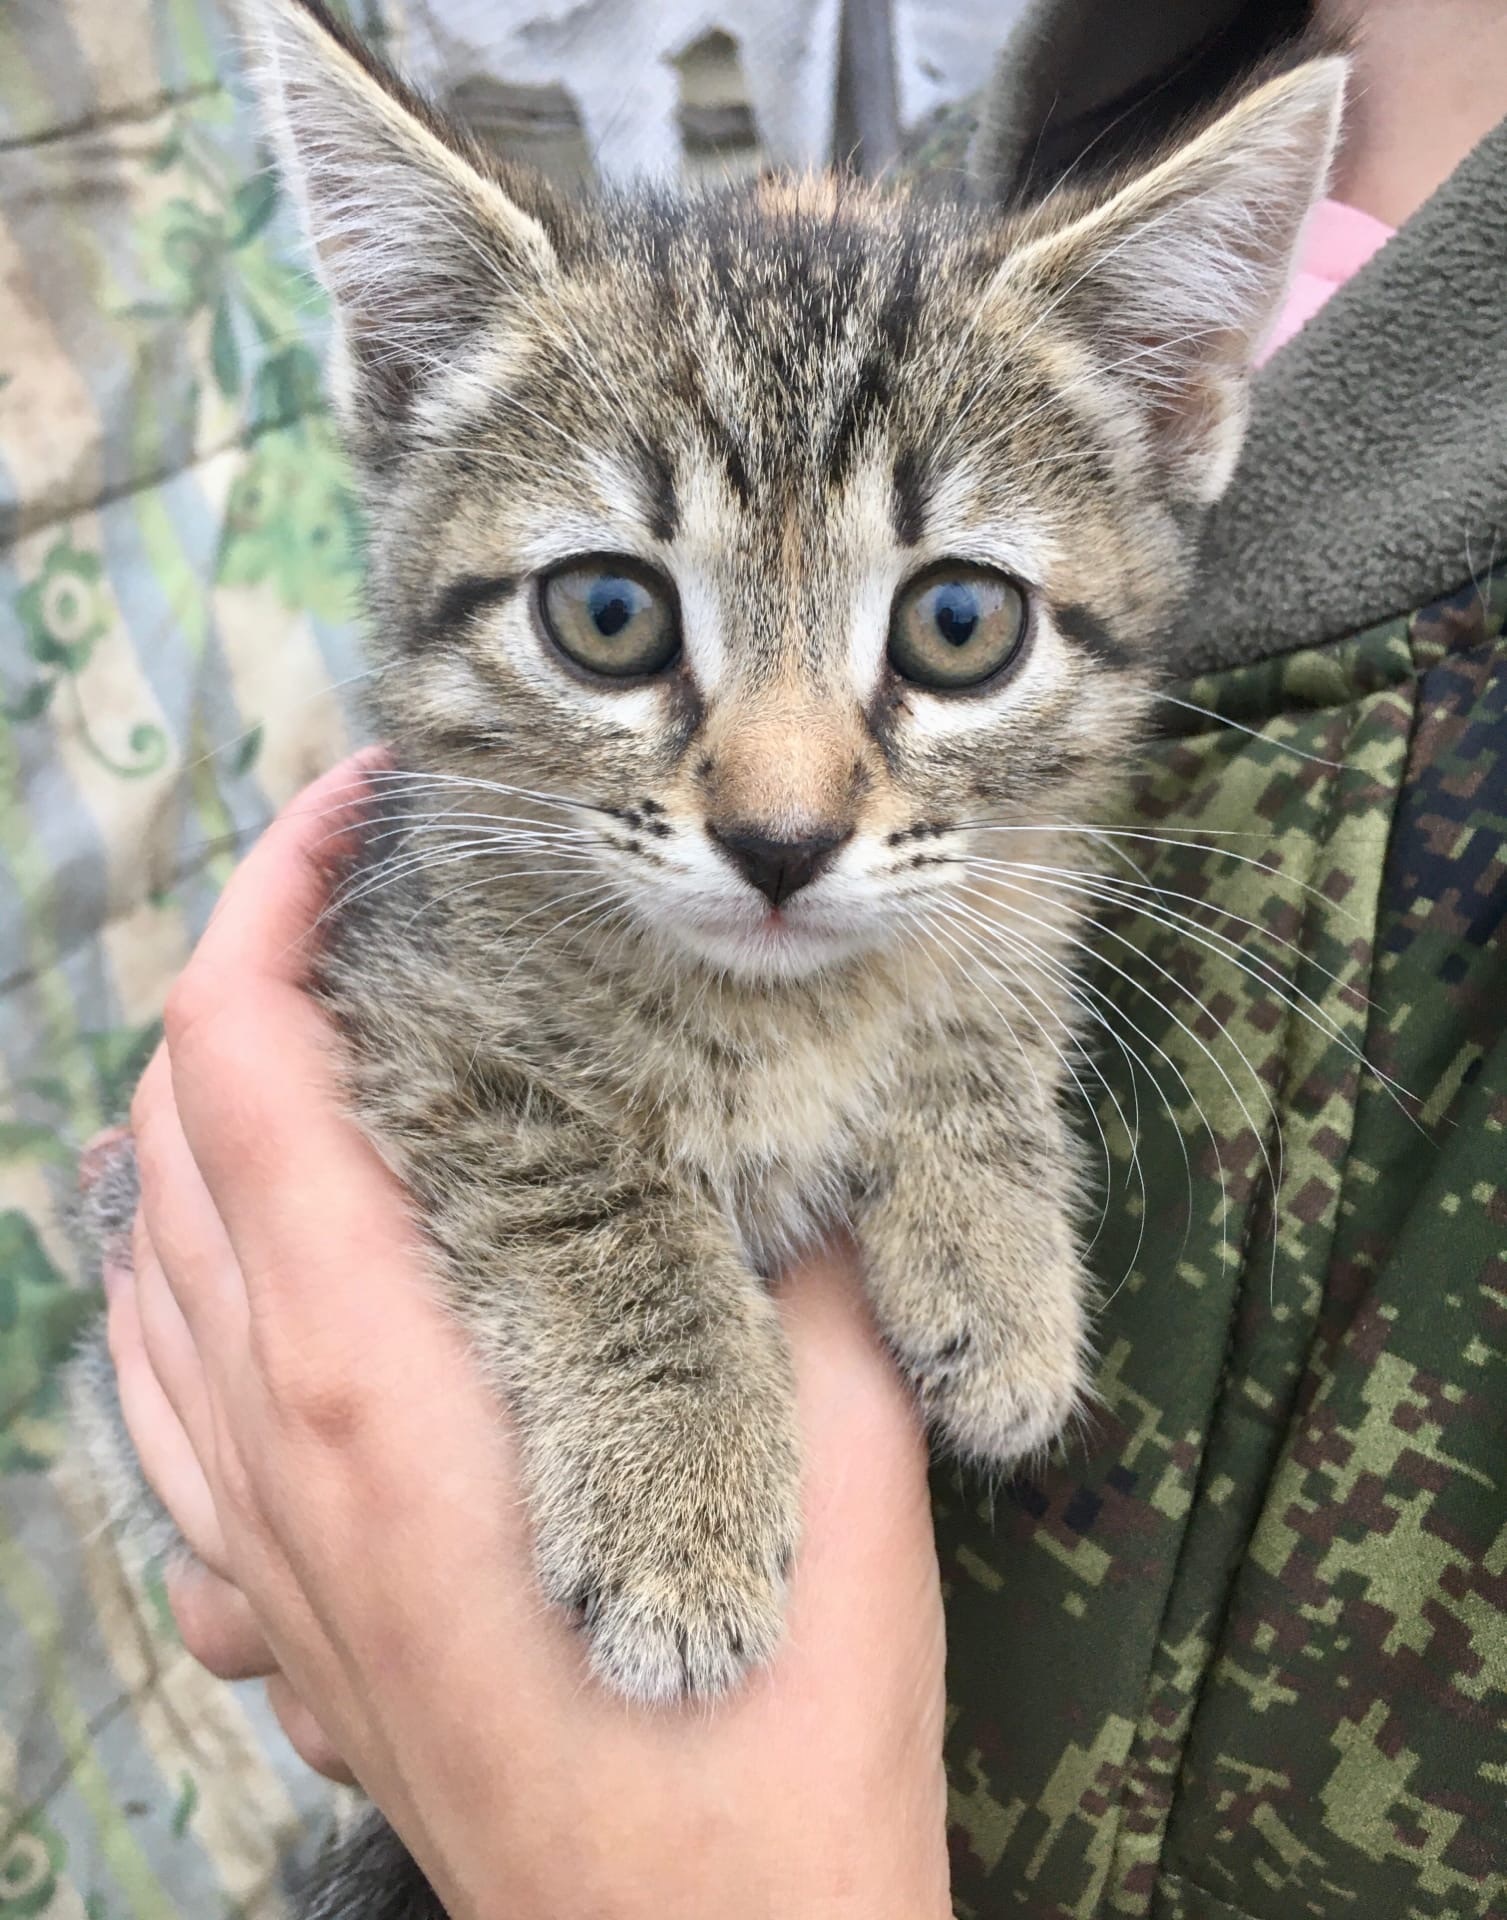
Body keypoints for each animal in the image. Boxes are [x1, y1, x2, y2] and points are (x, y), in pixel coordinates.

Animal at [70, 0, 1343, 1812]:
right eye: (607, 615)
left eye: (960, 623)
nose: (781, 838)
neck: (776, 1010)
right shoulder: (404, 1004)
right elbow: (585, 1181)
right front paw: (679, 1491)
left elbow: (985, 991)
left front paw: (995, 1246)